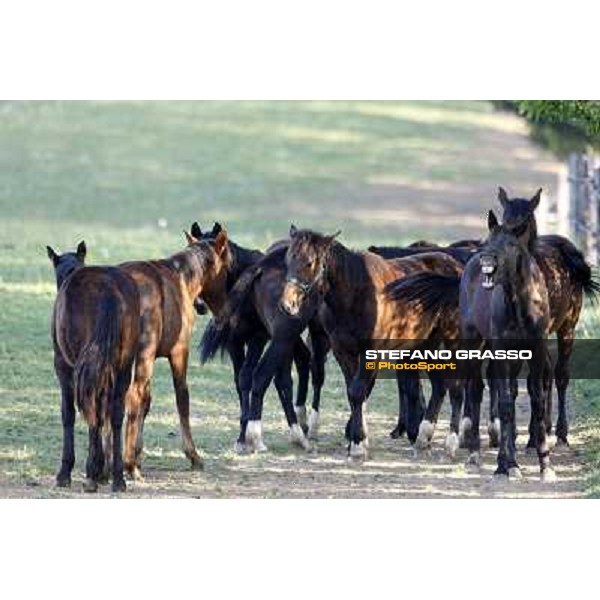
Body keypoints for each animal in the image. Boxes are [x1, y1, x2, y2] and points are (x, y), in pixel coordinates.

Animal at [49, 245, 141, 492]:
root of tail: (108, 287)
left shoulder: (63, 366)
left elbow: (68, 413)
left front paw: (66, 472)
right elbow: (106, 413)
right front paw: (102, 470)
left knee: (92, 410)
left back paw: (91, 474)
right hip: (122, 367)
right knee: (115, 413)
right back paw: (117, 478)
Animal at [118, 230, 232, 478]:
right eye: (228, 268)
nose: (221, 310)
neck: (180, 276)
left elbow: (147, 402)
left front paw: (138, 454)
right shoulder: (178, 352)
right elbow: (182, 398)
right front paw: (193, 455)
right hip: (144, 355)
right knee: (132, 396)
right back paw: (129, 466)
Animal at [282, 227, 464, 458]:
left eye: (309, 262)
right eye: (288, 260)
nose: (288, 304)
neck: (356, 294)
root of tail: (457, 269)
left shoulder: (370, 352)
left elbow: (359, 391)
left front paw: (358, 445)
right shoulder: (343, 352)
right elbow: (352, 393)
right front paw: (356, 439)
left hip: (452, 341)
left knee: (456, 387)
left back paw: (451, 443)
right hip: (426, 345)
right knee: (440, 386)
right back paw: (423, 438)